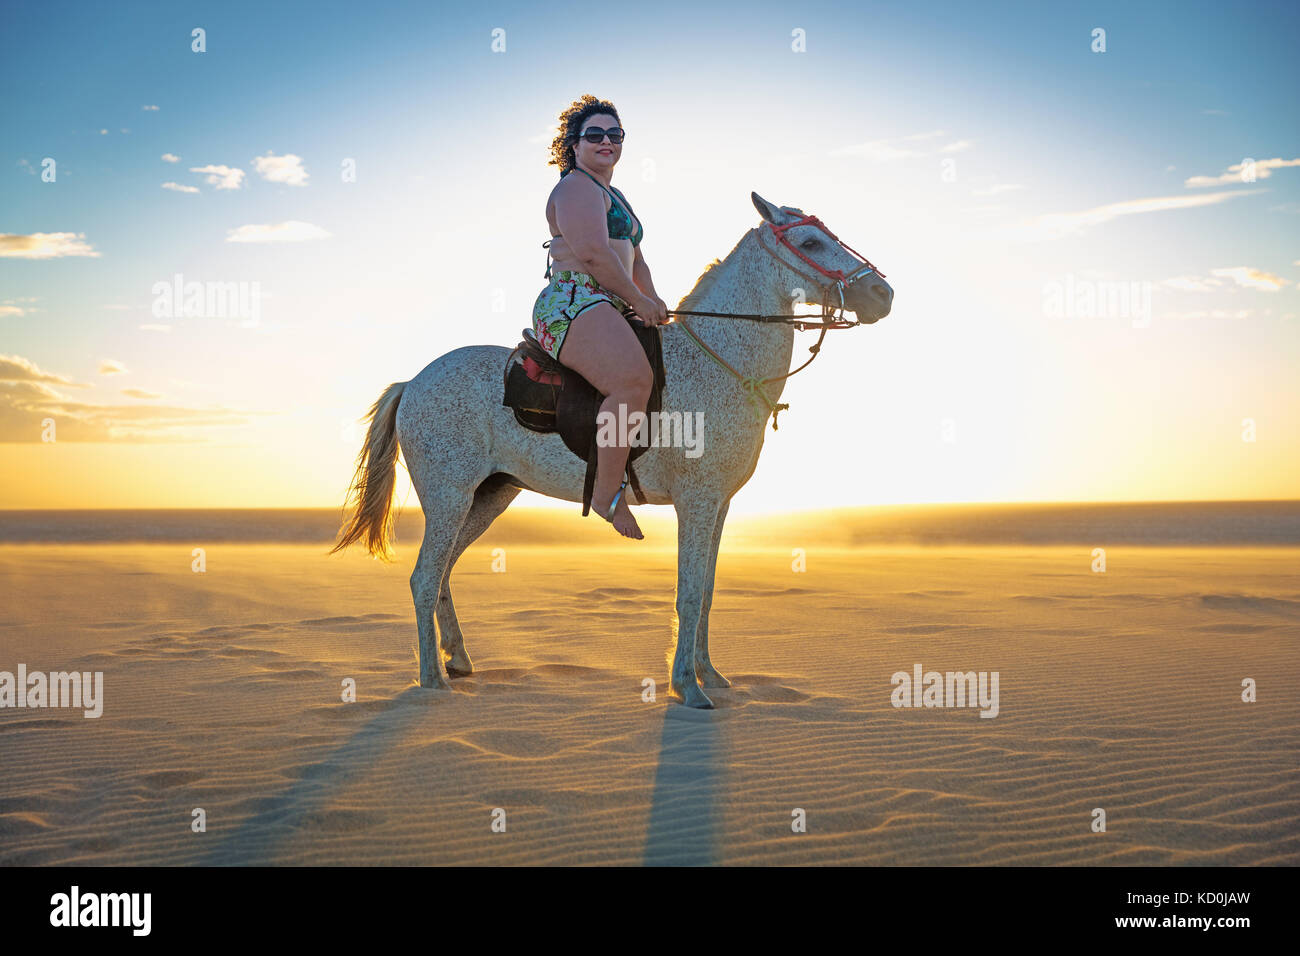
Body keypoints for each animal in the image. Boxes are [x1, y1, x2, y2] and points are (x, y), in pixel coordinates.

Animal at [330, 191, 894, 707]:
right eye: (810, 242)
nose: (882, 293)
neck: (720, 361)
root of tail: (413, 382)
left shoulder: (719, 506)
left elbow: (708, 590)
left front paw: (710, 675)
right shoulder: (696, 502)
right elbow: (689, 594)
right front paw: (687, 686)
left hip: (489, 495)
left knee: (443, 571)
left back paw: (459, 659)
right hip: (450, 495)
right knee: (424, 578)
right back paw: (432, 680)